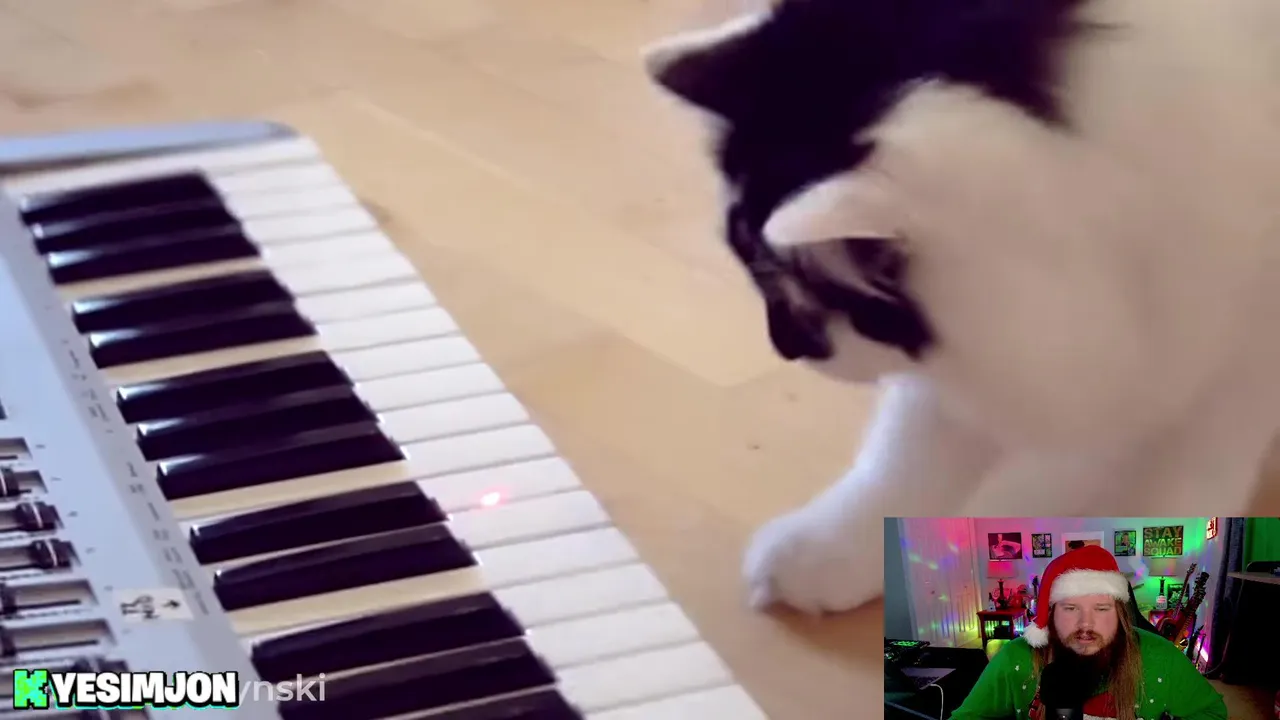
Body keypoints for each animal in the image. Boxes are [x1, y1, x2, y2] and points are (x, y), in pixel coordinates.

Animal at [641, 0, 1280, 614]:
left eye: (817, 304)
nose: (786, 348)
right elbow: (903, 462)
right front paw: (833, 554)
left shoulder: (1233, 363)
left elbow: (1183, 487)